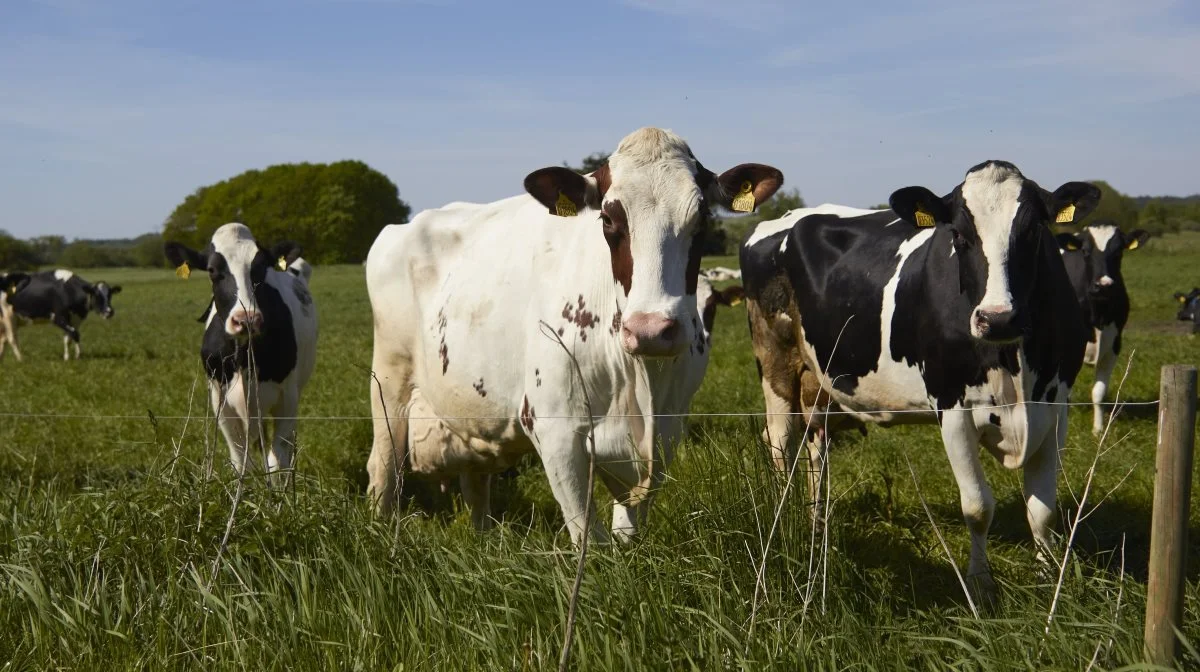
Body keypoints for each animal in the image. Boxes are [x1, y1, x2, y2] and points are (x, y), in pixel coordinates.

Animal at [166, 223, 324, 480]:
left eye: (260, 267)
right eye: (211, 269)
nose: (246, 319)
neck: (242, 353)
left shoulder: (287, 396)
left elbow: (277, 459)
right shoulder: (219, 397)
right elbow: (240, 461)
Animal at [360, 127, 782, 547]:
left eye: (702, 218)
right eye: (608, 218)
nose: (650, 331)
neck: (638, 380)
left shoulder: (667, 432)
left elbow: (628, 534)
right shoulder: (555, 430)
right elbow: (589, 540)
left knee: (476, 485)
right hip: (389, 384)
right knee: (383, 466)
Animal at [744, 162, 1099, 592]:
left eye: (1033, 231)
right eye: (959, 235)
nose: (998, 318)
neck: (1012, 364)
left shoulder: (1055, 406)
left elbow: (1042, 509)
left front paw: (1048, 577)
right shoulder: (953, 407)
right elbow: (978, 506)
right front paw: (980, 584)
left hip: (820, 378)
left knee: (815, 447)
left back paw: (817, 524)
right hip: (774, 355)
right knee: (780, 441)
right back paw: (786, 524)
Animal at [1056, 218, 1147, 432]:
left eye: (1119, 251)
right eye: (1085, 251)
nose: (1104, 285)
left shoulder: (1114, 344)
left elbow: (1099, 392)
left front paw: (1098, 429)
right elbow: (1065, 394)